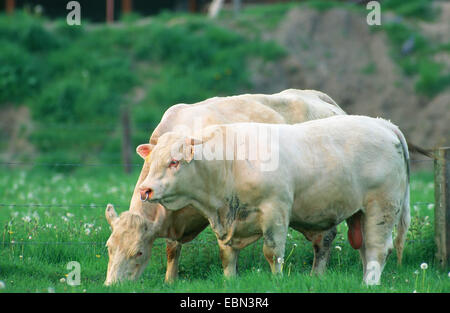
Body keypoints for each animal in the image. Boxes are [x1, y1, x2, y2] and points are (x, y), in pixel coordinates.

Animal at [104, 88, 344, 286]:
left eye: (138, 252)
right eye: (109, 248)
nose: (111, 285)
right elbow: (173, 249)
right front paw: (170, 281)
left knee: (325, 238)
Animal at [140, 115, 412, 286]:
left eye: (174, 162)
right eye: (152, 161)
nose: (145, 189)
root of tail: (383, 124)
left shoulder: (276, 210)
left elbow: (273, 253)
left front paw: (277, 280)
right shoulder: (224, 224)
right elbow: (227, 257)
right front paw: (230, 282)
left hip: (382, 206)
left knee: (378, 248)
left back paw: (369, 283)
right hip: (361, 213)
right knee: (365, 249)